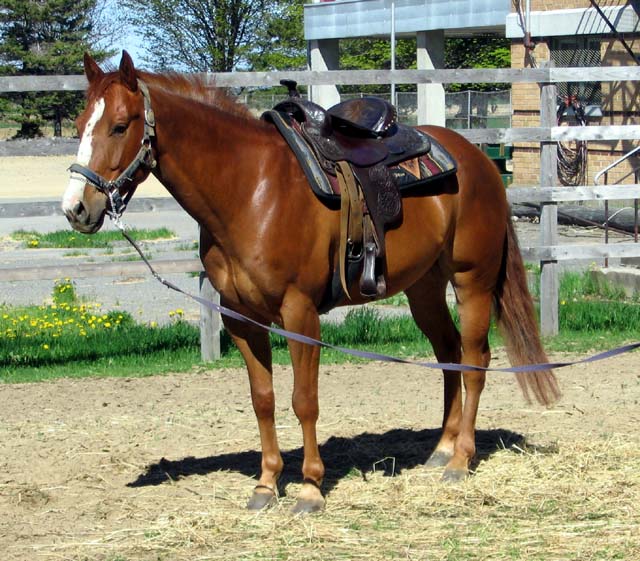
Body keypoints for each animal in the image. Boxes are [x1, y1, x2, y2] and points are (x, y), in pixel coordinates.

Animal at [62, 52, 556, 512]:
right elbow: (263, 398)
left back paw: (459, 461)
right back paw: (441, 448)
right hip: (423, 288)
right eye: (81, 124)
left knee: (475, 359)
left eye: (119, 127)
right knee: (448, 353)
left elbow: (304, 400)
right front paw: (265, 485)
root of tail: (480, 161)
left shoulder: (298, 313)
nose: (76, 209)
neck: (249, 188)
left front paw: (310, 488)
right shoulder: (241, 318)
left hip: (472, 281)